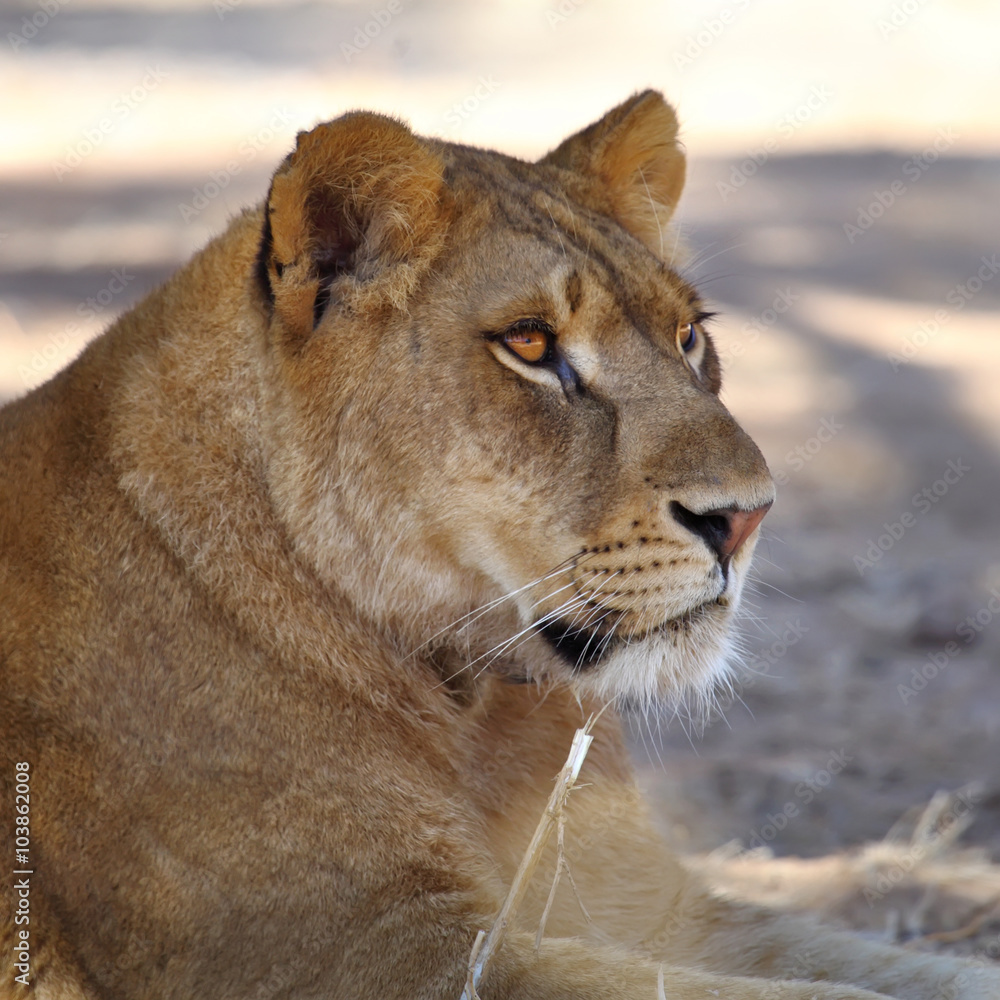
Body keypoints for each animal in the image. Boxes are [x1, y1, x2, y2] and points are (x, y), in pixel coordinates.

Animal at [1, 91, 997, 1000]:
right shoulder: (375, 956)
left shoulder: (659, 909)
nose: (747, 516)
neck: (474, 709)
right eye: (529, 343)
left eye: (688, 337)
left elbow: (903, 971)